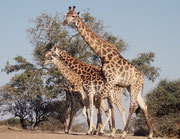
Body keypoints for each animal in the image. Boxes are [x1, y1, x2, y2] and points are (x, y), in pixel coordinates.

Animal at [62, 5, 153, 138]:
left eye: (73, 16)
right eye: (66, 15)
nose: (64, 23)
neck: (104, 55)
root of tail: (142, 78)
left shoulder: (111, 80)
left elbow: (100, 101)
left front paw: (99, 131)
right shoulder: (107, 82)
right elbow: (105, 104)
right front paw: (105, 130)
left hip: (134, 86)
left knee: (132, 106)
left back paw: (124, 133)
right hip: (130, 87)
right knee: (143, 105)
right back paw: (150, 134)